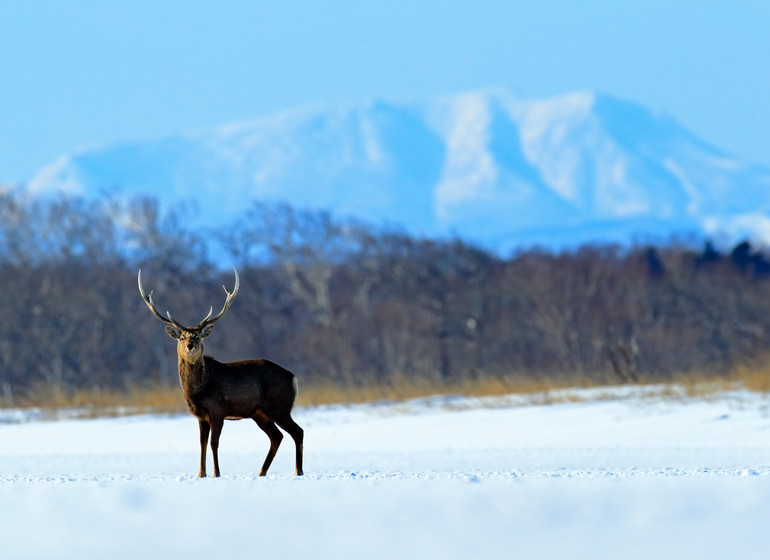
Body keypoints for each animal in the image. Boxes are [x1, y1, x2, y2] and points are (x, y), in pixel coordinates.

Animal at [138, 266, 304, 476]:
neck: (198, 391)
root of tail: (293, 377)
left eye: (198, 336)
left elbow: (214, 443)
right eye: (182, 337)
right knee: (277, 436)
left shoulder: (217, 410)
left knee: (297, 432)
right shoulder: (200, 415)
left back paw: (299, 471)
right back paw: (261, 472)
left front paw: (216, 473)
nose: (190, 345)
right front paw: (201, 474)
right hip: (259, 412)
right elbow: (201, 444)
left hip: (279, 406)